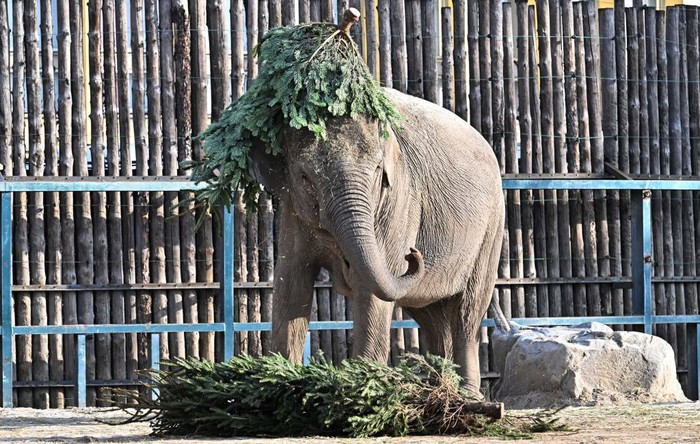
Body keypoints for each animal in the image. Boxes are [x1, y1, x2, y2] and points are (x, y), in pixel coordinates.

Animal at [249, 88, 507, 396]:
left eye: (376, 170)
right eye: (304, 177)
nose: (412, 254)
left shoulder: (399, 199)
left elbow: (369, 292)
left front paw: (361, 388)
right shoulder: (293, 211)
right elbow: (291, 284)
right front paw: (278, 380)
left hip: (491, 228)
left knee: (467, 310)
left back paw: (467, 393)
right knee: (431, 316)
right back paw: (441, 387)